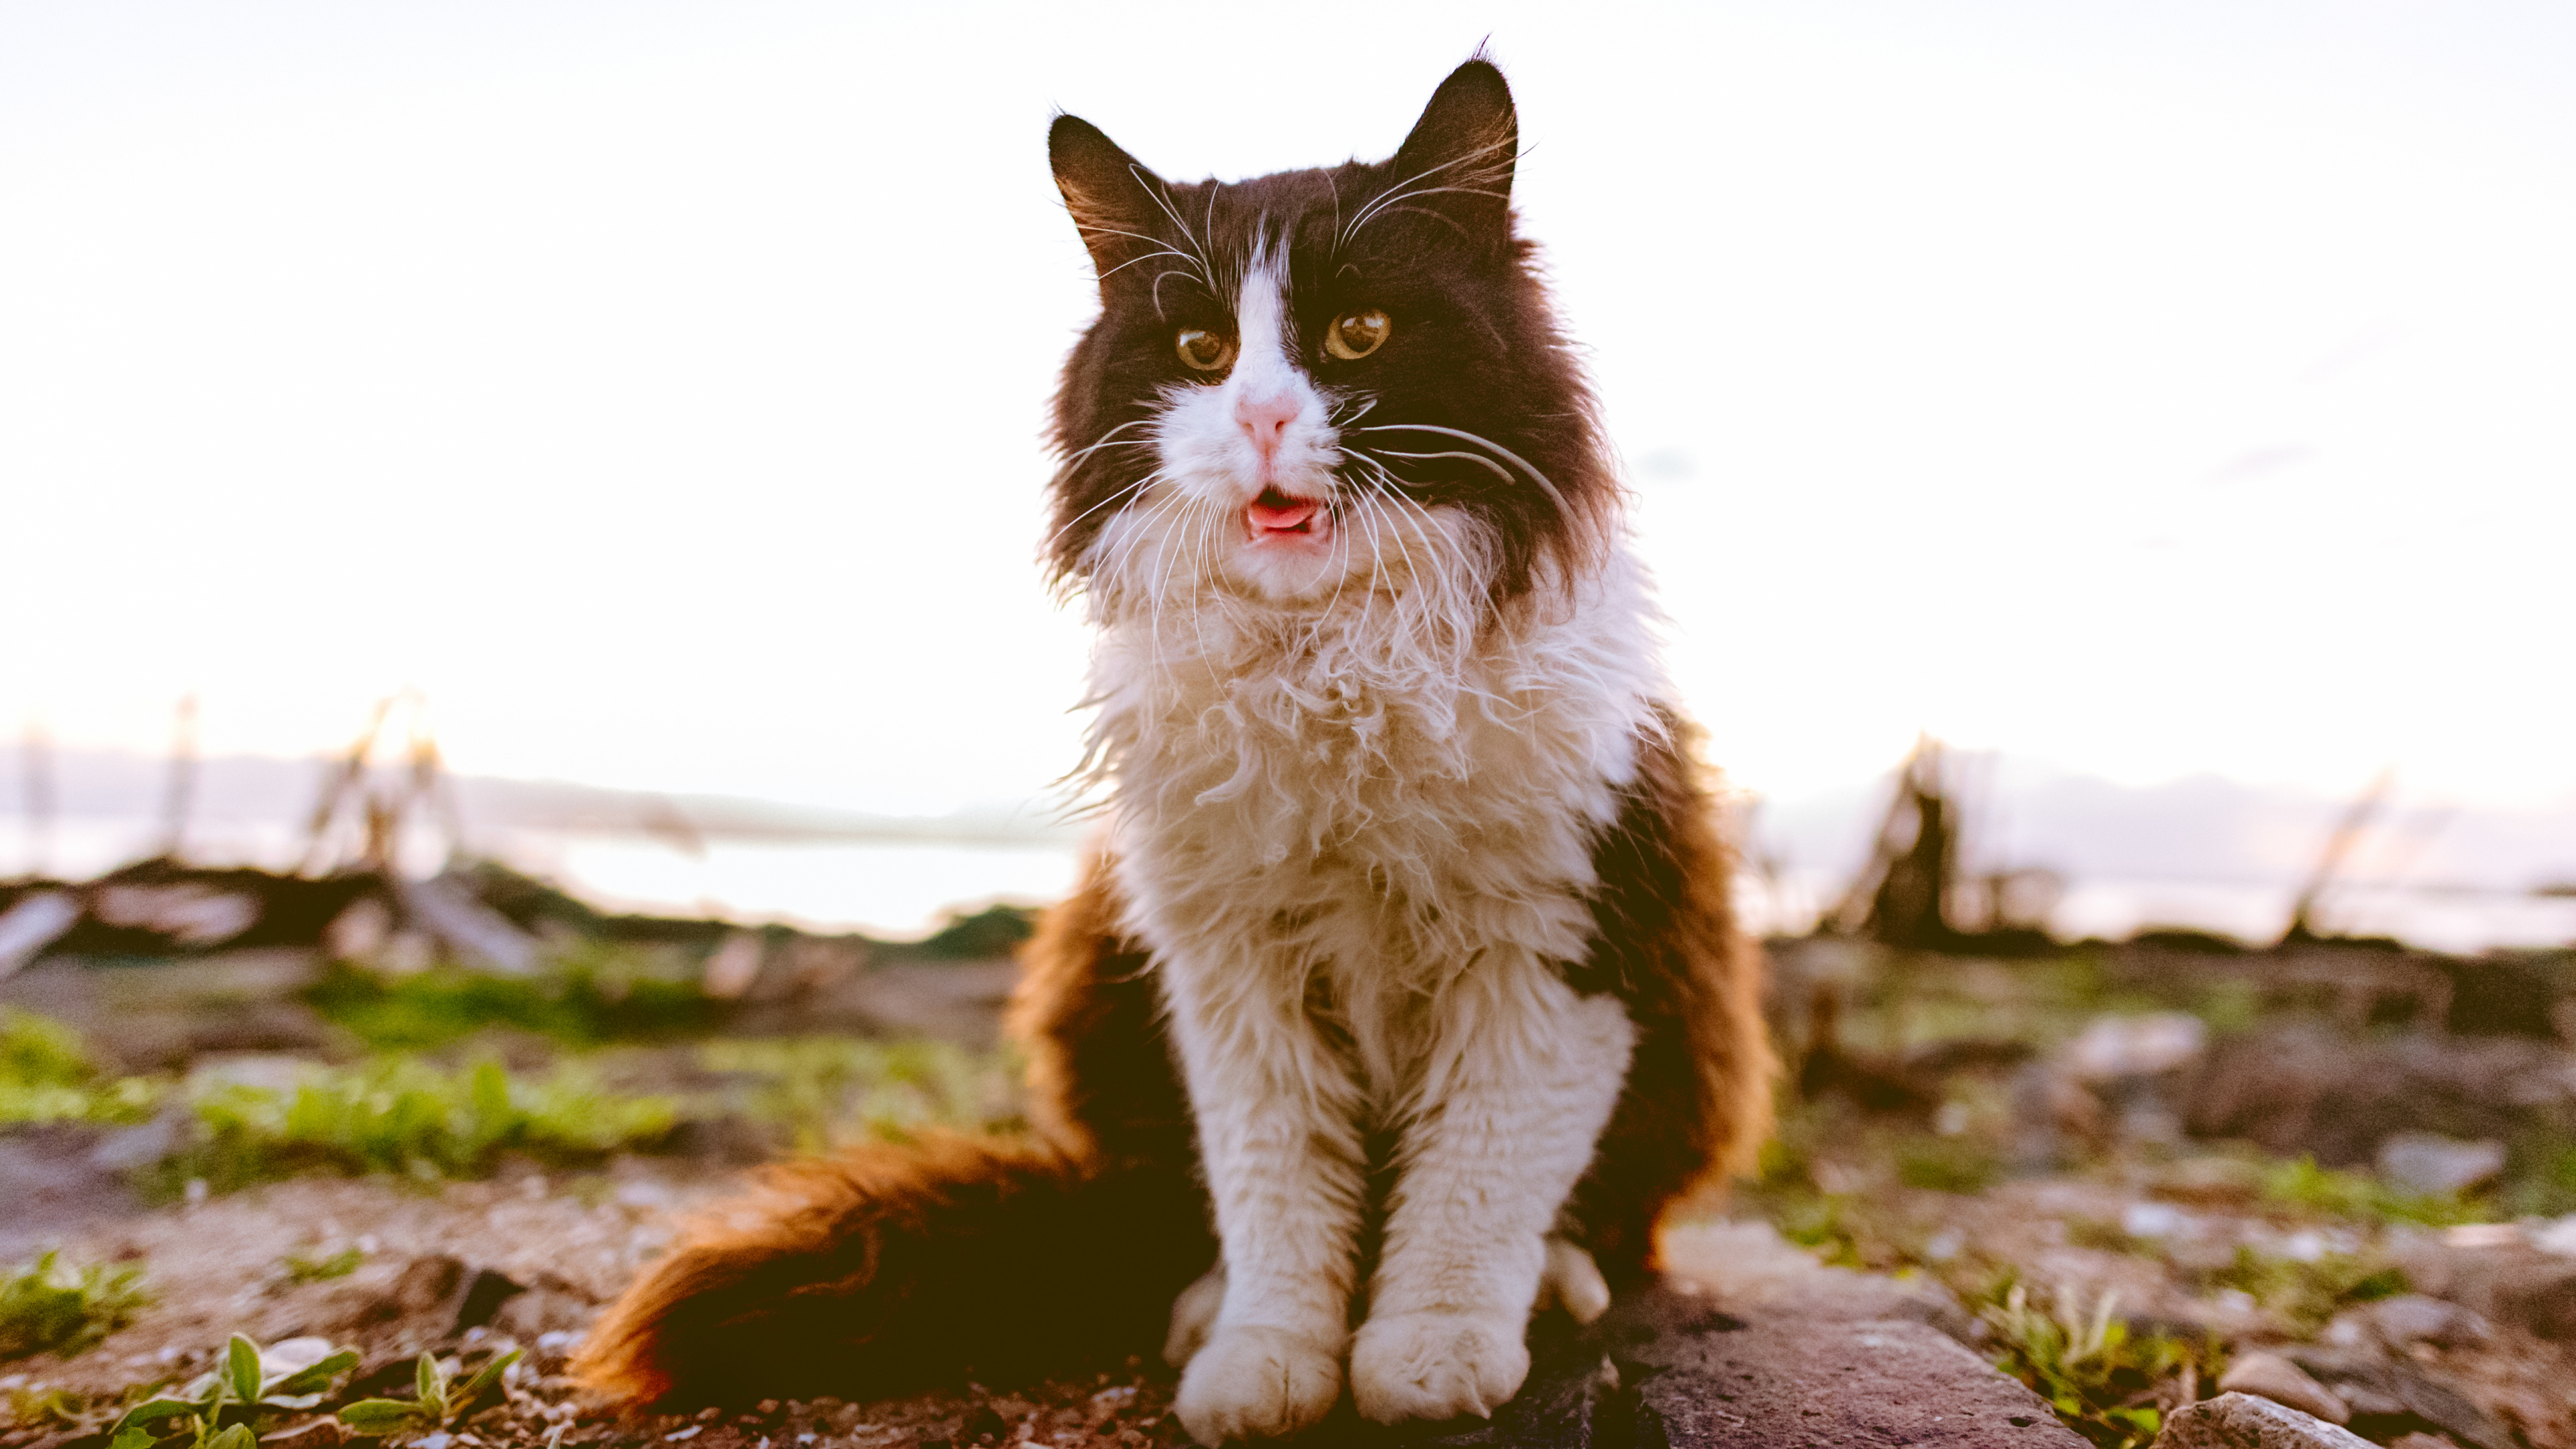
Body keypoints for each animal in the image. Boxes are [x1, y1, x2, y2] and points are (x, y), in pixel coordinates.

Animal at [569, 50, 1772, 1433]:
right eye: (1202, 350)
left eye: (1359, 332)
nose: (1258, 418)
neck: (1330, 667)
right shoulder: (1230, 967)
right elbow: (1274, 1189)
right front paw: (1267, 1360)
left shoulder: (1555, 948)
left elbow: (1475, 1181)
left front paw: (1429, 1353)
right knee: (1168, 1209)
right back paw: (1200, 1308)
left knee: (1608, 1219)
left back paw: (1559, 1286)